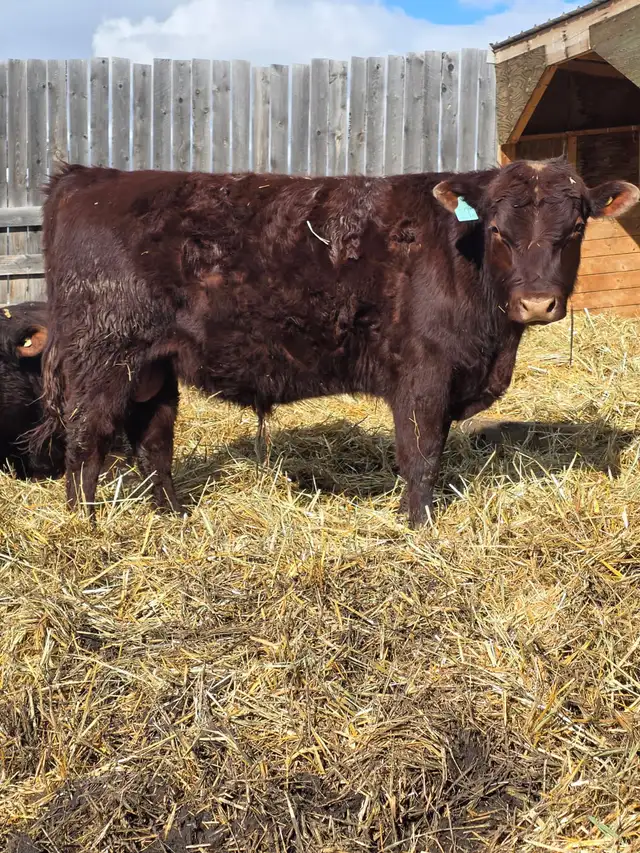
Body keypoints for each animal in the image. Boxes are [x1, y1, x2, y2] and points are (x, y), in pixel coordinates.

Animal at [31, 158, 639, 526]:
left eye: (577, 227)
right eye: (495, 229)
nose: (537, 302)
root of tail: (86, 177)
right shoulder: (422, 372)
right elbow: (422, 453)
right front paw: (420, 527)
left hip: (153, 365)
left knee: (152, 440)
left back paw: (174, 515)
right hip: (101, 356)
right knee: (86, 440)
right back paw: (85, 525)